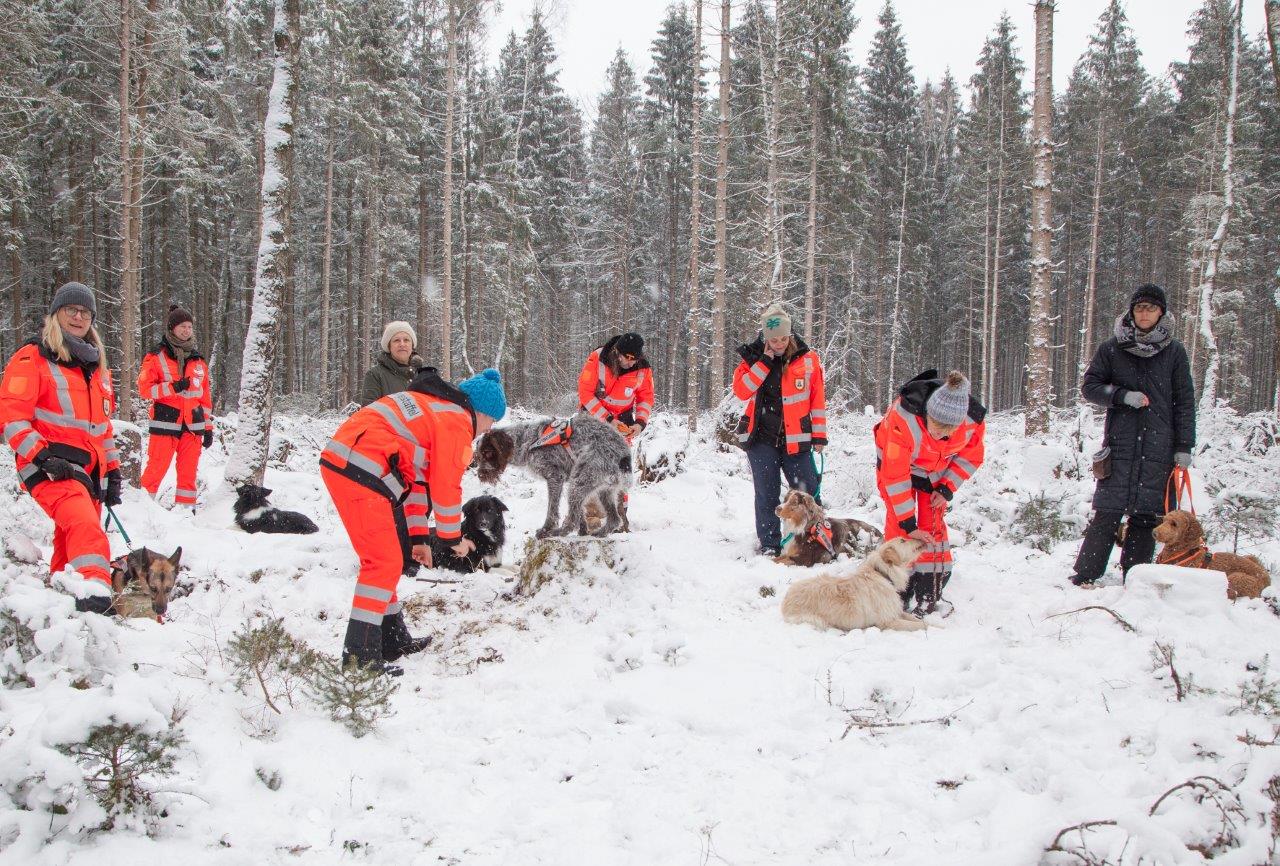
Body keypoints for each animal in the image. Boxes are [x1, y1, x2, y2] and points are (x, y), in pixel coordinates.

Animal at [476, 409, 634, 537]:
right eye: (478, 455)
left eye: (488, 453)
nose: (481, 475)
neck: (528, 441)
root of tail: (624, 457)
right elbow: (580, 514)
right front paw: (583, 531)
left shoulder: (555, 477)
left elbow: (552, 510)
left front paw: (546, 530)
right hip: (603, 489)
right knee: (614, 519)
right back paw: (600, 533)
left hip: (579, 482)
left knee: (573, 520)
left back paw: (559, 532)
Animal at [778, 537, 931, 631]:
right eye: (903, 540)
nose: (921, 538)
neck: (883, 574)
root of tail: (786, 598)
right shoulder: (888, 622)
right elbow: (920, 626)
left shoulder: (896, 612)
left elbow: (920, 620)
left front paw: (935, 624)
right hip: (814, 620)